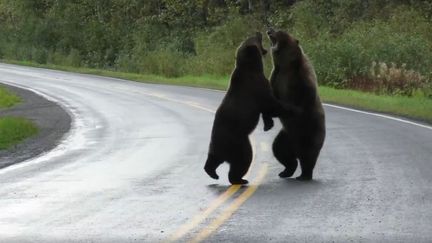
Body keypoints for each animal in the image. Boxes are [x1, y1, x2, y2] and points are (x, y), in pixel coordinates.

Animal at [204, 31, 298, 184]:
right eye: (254, 38)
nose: (259, 32)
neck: (252, 67)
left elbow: (268, 108)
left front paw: (268, 124)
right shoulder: (256, 86)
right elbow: (270, 104)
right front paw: (291, 109)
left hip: (216, 144)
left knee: (213, 159)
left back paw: (212, 173)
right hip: (239, 142)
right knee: (243, 161)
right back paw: (240, 179)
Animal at [264, 28, 326, 180]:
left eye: (280, 30)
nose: (269, 29)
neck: (286, 66)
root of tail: (296, 150)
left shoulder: (301, 76)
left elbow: (306, 97)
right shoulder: (276, 77)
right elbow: (270, 98)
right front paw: (268, 121)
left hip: (311, 134)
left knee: (309, 156)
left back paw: (304, 175)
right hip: (287, 136)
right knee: (279, 150)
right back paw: (286, 171)